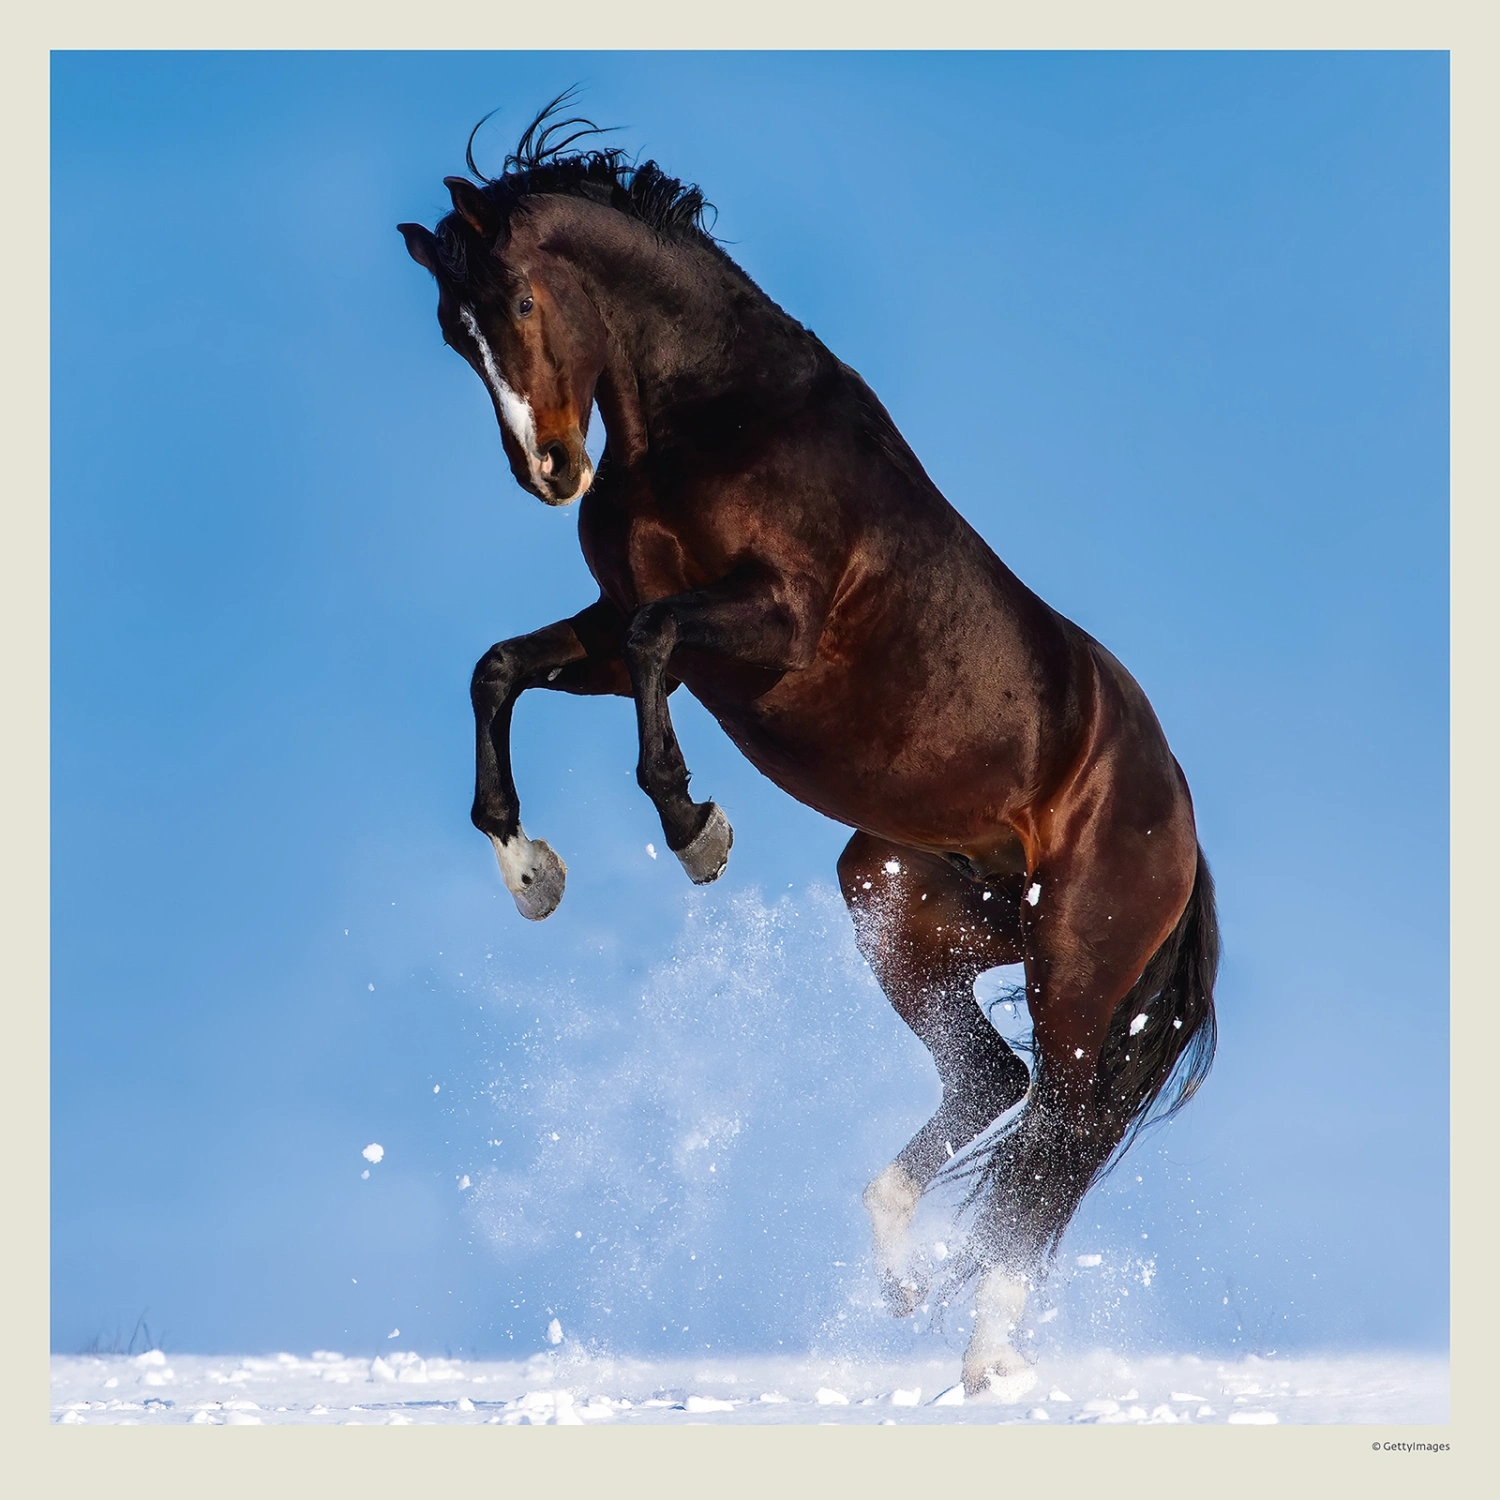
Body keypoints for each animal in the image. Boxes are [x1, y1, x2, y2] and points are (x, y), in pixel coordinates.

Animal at [398, 96, 1219, 1397]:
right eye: (450, 333)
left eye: (519, 304)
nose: (550, 471)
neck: (712, 416)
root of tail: (1177, 810)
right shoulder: (610, 623)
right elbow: (502, 667)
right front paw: (529, 870)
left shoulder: (763, 624)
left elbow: (648, 653)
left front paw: (696, 829)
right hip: (899, 899)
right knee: (998, 1082)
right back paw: (902, 1274)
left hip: (1077, 965)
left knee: (1058, 1129)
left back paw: (985, 1351)